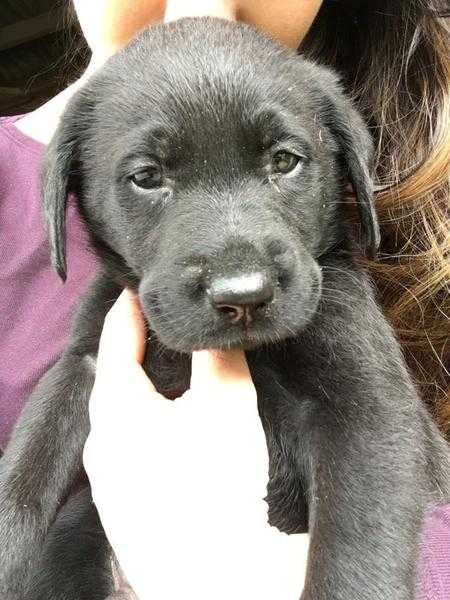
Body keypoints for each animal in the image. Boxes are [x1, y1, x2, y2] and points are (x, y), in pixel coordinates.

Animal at [0, 17, 450, 600]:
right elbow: (29, 459)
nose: (243, 295)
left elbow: (356, 553)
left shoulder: (367, 408)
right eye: (148, 177)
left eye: (284, 161)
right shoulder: (86, 362)